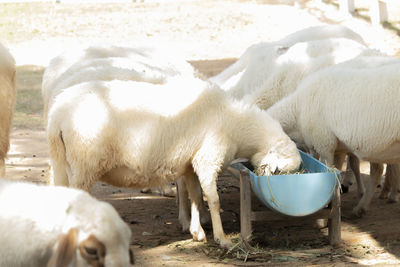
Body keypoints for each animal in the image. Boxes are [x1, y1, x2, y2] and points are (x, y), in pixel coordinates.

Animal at [46, 74, 300, 248]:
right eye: (282, 173)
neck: (236, 123)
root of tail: (58, 113)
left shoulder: (190, 162)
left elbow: (196, 196)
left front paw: (197, 232)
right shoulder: (208, 158)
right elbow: (213, 200)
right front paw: (222, 239)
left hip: (62, 162)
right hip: (84, 165)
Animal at [268, 55, 400, 218]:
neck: (297, 110)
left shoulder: (324, 143)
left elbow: (327, 171)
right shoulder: (323, 146)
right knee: (377, 170)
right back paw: (364, 206)